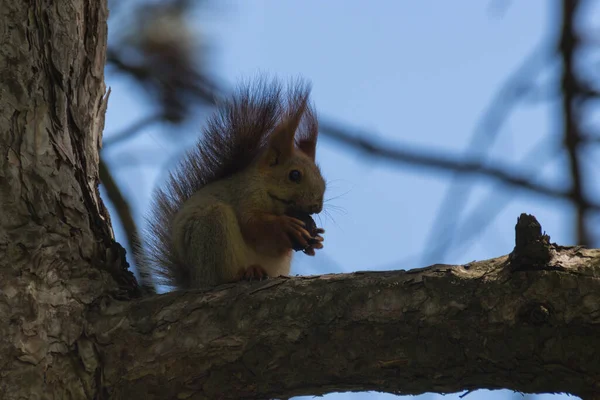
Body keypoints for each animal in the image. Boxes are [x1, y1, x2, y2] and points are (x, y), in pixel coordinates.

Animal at [135, 78, 326, 290]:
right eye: (294, 175)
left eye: (322, 178)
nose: (317, 207)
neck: (268, 192)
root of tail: (194, 281)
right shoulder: (243, 195)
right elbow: (252, 224)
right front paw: (286, 226)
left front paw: (316, 239)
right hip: (212, 227)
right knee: (221, 275)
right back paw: (244, 273)